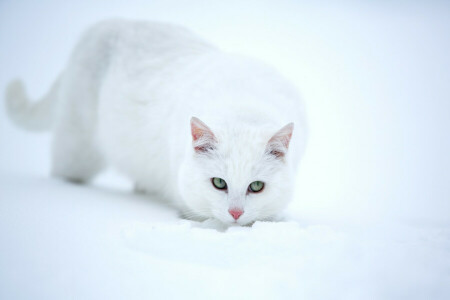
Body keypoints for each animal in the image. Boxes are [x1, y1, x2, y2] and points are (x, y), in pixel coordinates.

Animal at [6, 19, 306, 225]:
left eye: (256, 187)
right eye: (219, 183)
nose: (235, 212)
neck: (241, 104)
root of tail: (102, 28)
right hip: (76, 148)